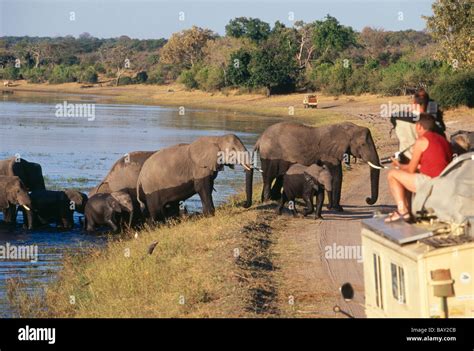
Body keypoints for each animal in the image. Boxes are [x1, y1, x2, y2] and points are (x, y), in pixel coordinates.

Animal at [248, 121, 382, 212]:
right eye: (363, 144)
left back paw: (274, 199)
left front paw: (335, 207)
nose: (367, 199)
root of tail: (260, 138)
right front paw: (337, 208)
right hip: (270, 154)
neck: (347, 129)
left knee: (279, 177)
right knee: (269, 177)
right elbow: (336, 175)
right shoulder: (330, 153)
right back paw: (268, 200)